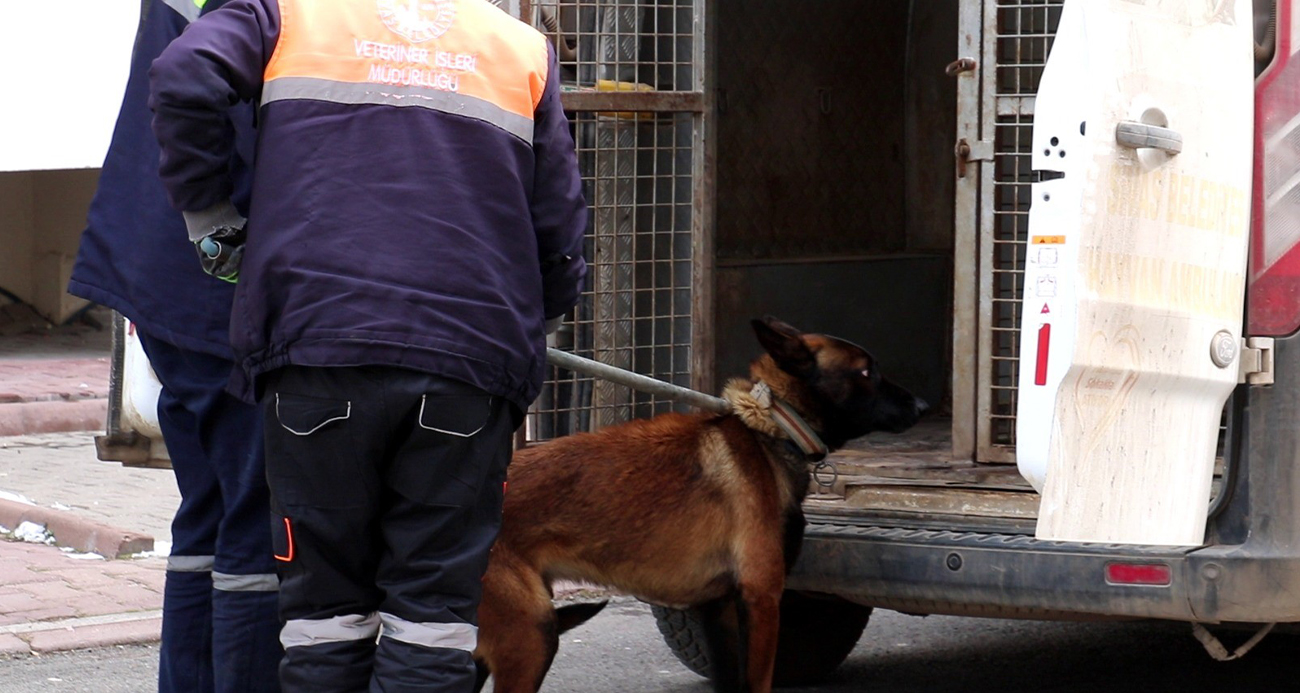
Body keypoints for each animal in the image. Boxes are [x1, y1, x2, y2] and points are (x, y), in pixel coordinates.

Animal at [475, 315, 925, 686]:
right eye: (866, 372)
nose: (922, 405)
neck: (774, 430)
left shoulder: (716, 611)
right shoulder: (762, 601)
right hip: (532, 636)